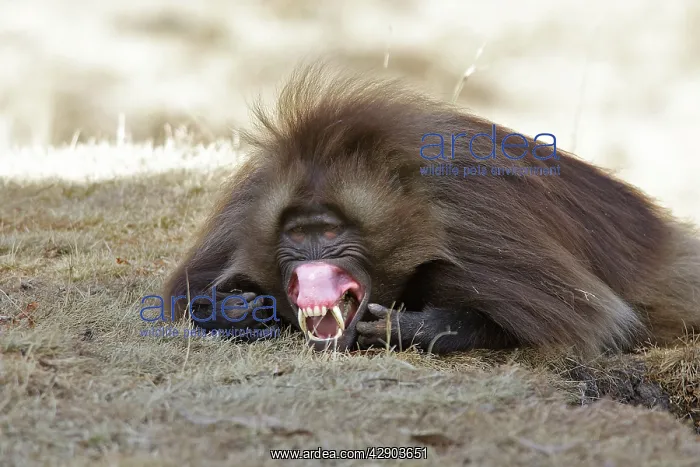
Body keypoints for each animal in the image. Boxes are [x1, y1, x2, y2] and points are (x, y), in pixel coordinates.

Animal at [161, 61, 700, 356]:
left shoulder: (473, 222)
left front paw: (411, 328)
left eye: (329, 232)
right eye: (296, 234)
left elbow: (595, 321)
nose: (310, 260)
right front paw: (237, 311)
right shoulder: (244, 207)